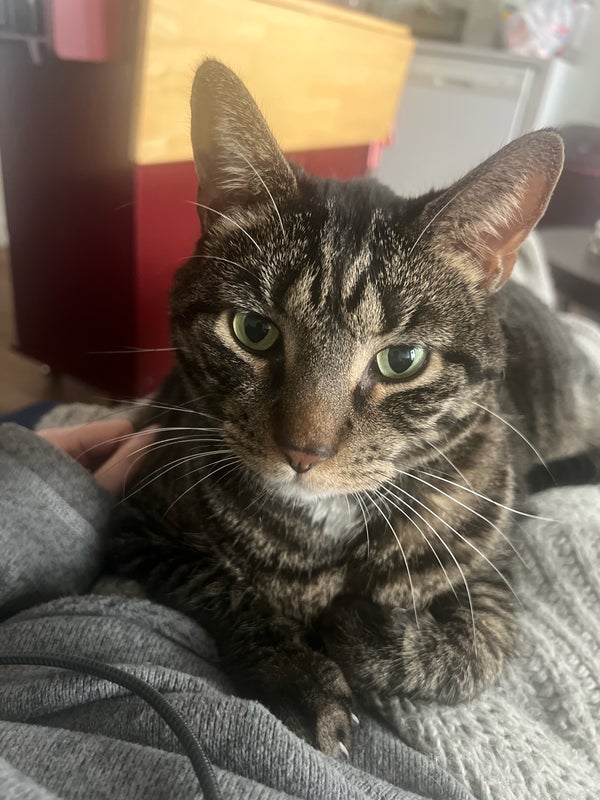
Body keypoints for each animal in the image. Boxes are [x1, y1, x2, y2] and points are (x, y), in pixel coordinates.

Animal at [111, 59, 598, 758]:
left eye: (404, 360)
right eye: (253, 331)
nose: (303, 451)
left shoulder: (497, 581)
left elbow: (471, 655)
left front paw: (358, 625)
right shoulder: (142, 528)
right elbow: (226, 589)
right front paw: (299, 675)